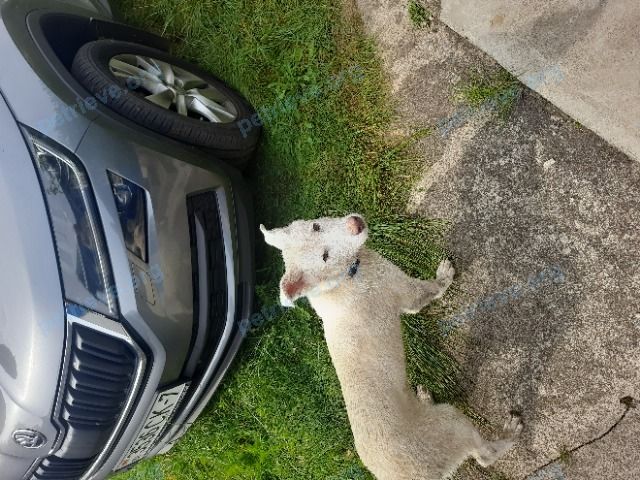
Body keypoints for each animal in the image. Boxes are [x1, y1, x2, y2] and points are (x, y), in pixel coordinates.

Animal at [258, 215, 520, 480]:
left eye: (316, 226)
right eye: (325, 257)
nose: (355, 223)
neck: (342, 280)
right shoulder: (401, 289)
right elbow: (431, 290)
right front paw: (444, 275)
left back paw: (424, 398)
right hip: (449, 426)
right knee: (484, 454)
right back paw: (510, 432)